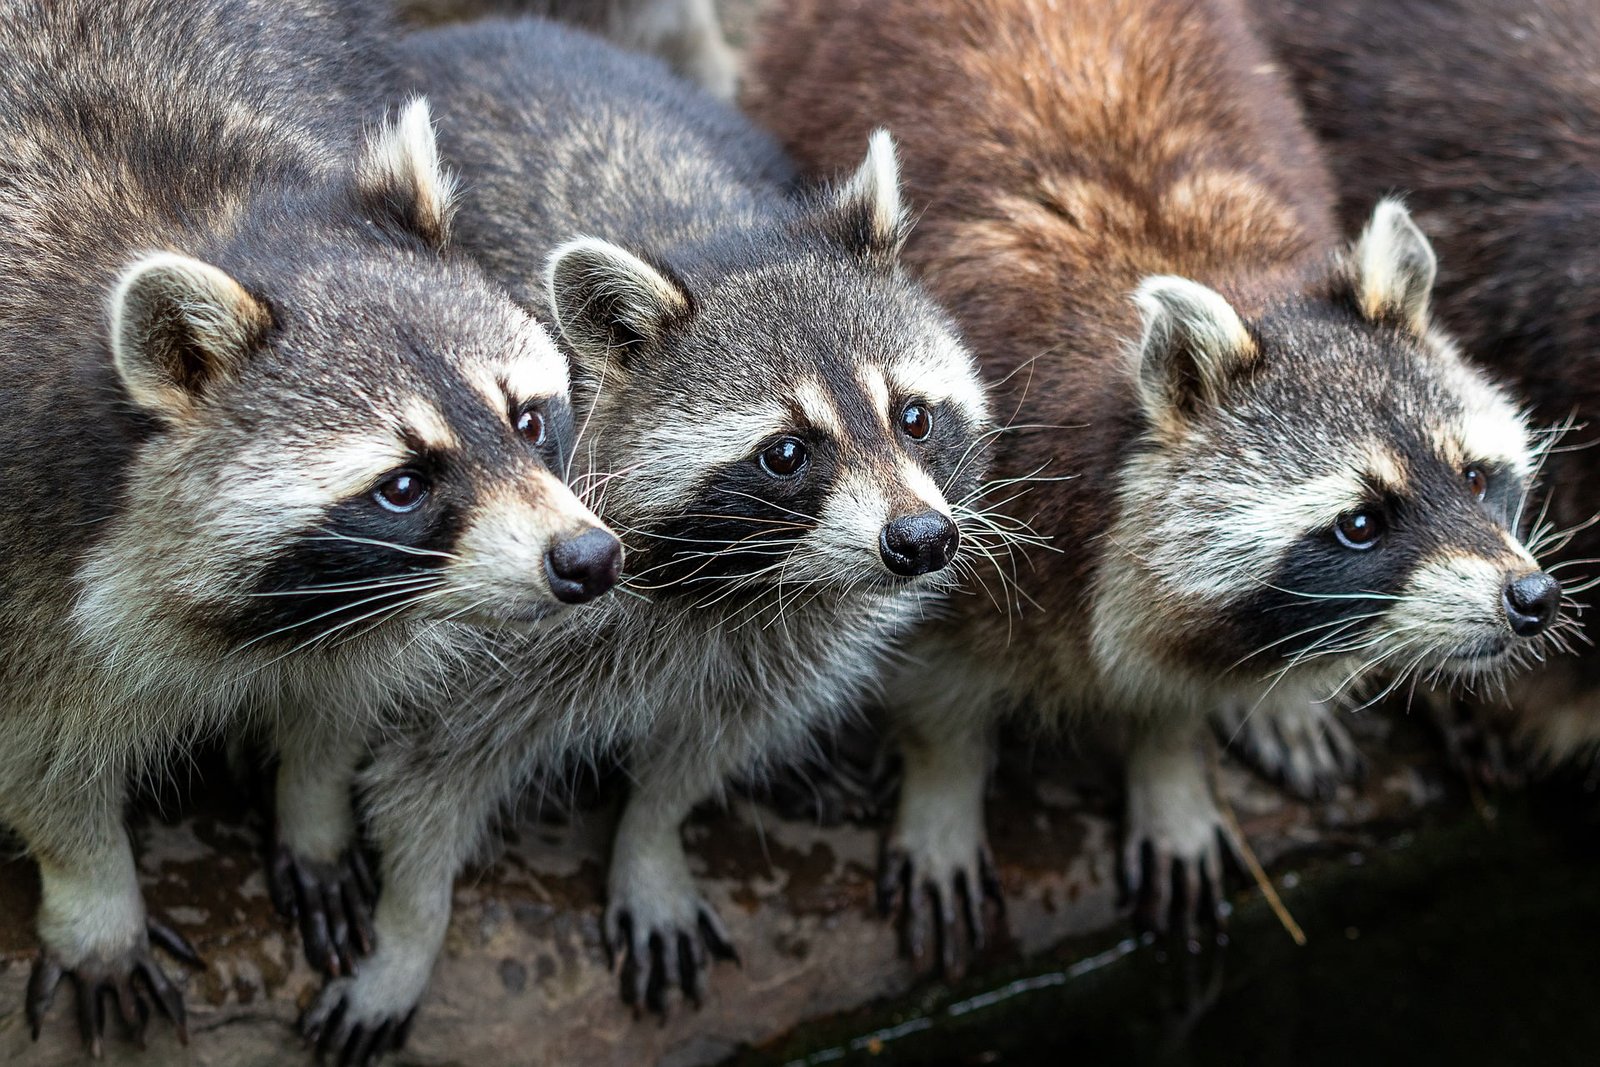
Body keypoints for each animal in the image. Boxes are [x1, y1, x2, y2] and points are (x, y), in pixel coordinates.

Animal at [0, 1, 618, 1053]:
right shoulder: (21, 533)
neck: (204, 214)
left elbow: (343, 688)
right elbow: (38, 746)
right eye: (404, 483)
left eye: (528, 420)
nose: (588, 558)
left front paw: (313, 798)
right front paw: (93, 892)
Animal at [291, 19, 989, 1058]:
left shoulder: (781, 637)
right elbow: (422, 780)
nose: (919, 540)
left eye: (913, 416)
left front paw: (650, 840)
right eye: (787, 452)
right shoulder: (476, 621)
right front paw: (409, 933)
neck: (737, 583)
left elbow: (703, 751)